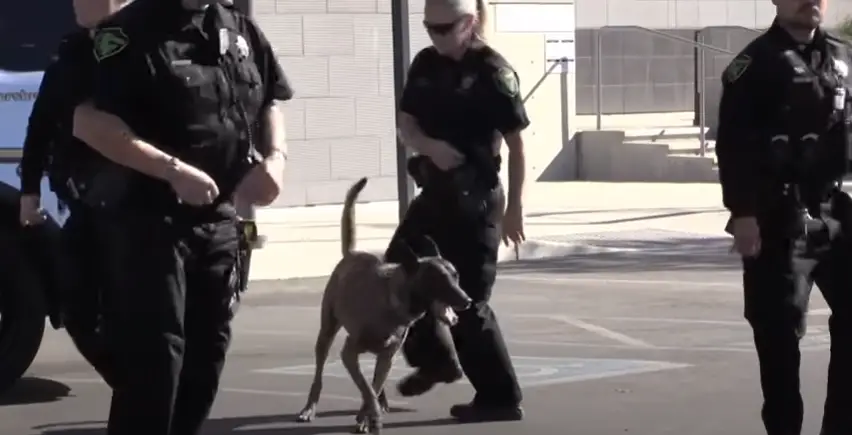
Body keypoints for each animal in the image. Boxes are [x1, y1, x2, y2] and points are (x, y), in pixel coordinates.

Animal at [296, 178, 472, 435]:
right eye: (438, 280)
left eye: (456, 276)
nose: (467, 301)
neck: (394, 302)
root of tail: (352, 253)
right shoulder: (349, 353)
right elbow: (367, 390)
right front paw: (370, 416)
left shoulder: (388, 357)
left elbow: (372, 388)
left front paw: (366, 417)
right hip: (326, 333)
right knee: (320, 373)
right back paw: (310, 408)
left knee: (375, 383)